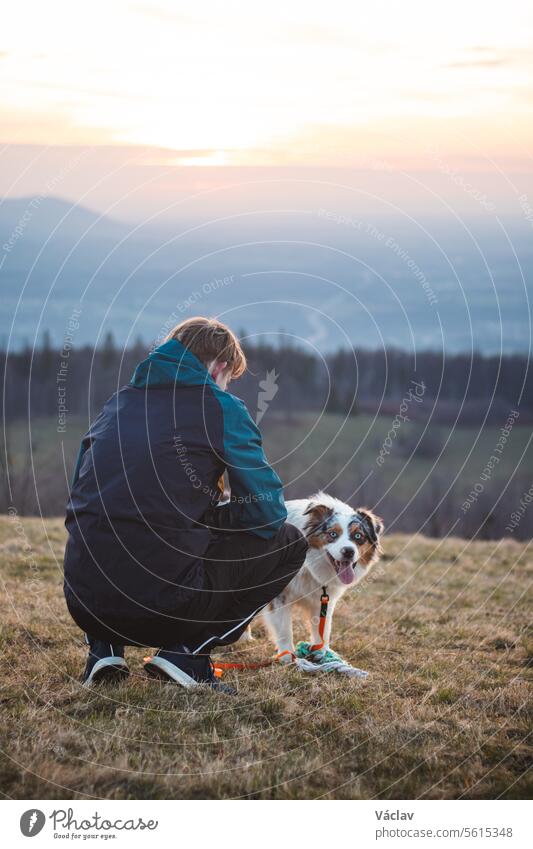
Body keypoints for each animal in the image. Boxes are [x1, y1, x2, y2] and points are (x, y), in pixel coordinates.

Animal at [245, 490, 382, 664]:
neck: (308, 565)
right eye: (332, 534)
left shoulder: (323, 599)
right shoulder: (279, 595)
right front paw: (287, 657)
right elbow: (284, 628)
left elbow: (323, 629)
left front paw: (323, 653)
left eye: (358, 536)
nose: (348, 552)